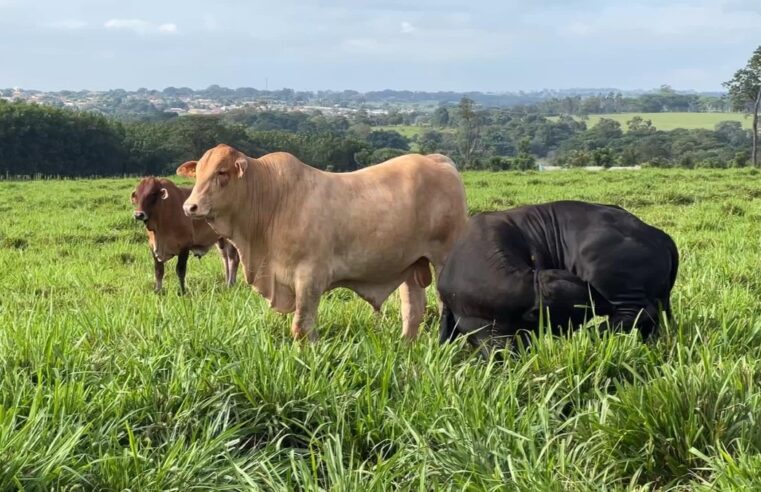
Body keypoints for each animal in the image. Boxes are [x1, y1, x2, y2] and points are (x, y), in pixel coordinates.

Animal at [177, 144, 466, 340]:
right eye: (198, 173)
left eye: (221, 172)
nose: (190, 206)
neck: (272, 200)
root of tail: (436, 159)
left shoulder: (309, 276)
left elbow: (302, 325)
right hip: (411, 264)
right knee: (413, 308)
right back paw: (406, 344)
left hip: (443, 259)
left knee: (445, 306)